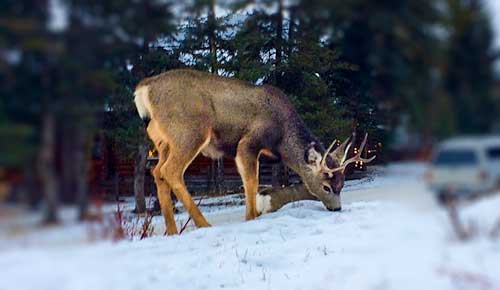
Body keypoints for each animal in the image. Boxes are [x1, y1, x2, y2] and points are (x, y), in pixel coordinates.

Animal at [134, 69, 376, 234]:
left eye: (341, 185)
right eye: (326, 186)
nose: (337, 209)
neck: (282, 138)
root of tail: (144, 89)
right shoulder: (248, 142)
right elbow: (252, 181)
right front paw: (252, 217)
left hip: (162, 139)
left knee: (157, 171)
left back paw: (172, 231)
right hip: (190, 131)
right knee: (171, 171)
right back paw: (204, 224)